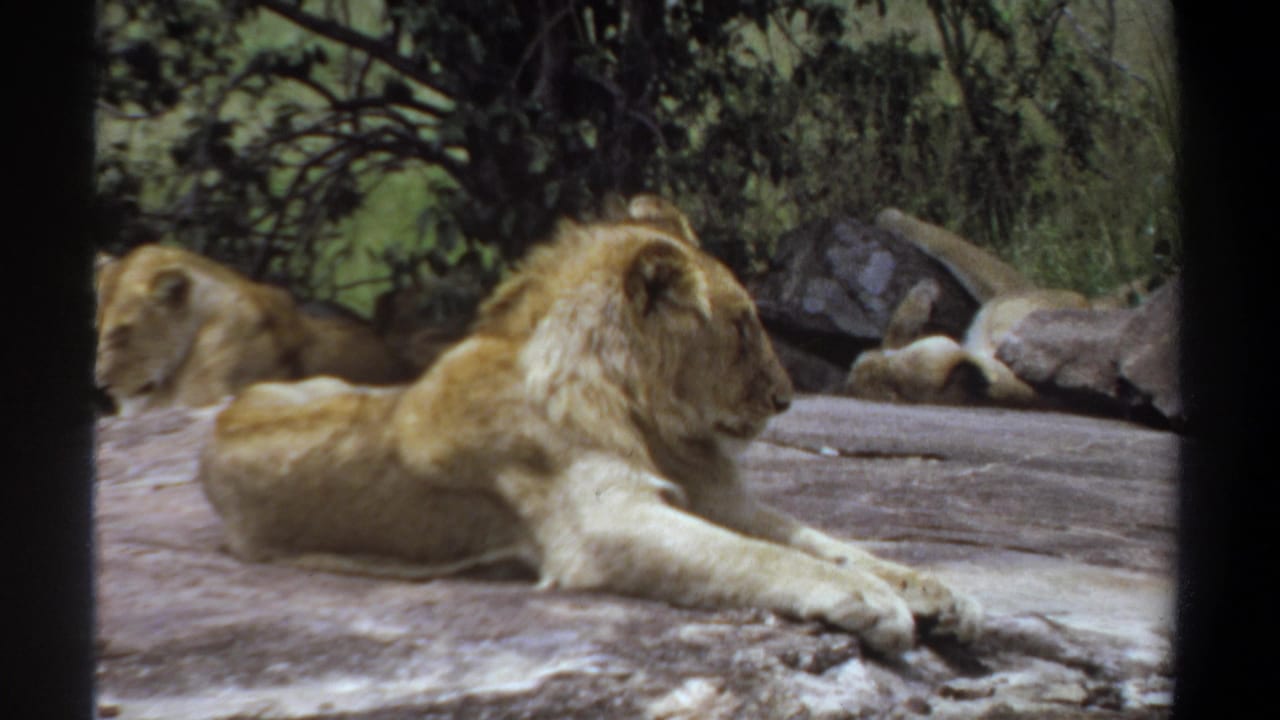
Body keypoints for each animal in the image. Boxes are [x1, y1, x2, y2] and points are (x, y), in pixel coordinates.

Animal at [197, 195, 981, 654]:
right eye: (741, 326)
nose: (786, 399)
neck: (648, 415)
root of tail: (225, 412)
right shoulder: (605, 523)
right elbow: (764, 559)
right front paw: (873, 603)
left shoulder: (720, 499)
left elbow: (828, 542)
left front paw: (935, 591)